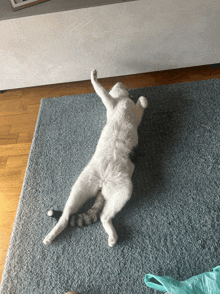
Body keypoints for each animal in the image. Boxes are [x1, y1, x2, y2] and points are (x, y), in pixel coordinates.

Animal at [42, 70, 148, 247]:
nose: (120, 82)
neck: (120, 101)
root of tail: (102, 183)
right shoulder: (113, 104)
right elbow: (100, 89)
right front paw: (94, 75)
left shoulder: (129, 111)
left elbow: (137, 102)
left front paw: (141, 98)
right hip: (88, 186)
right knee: (76, 216)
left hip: (116, 190)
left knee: (94, 216)